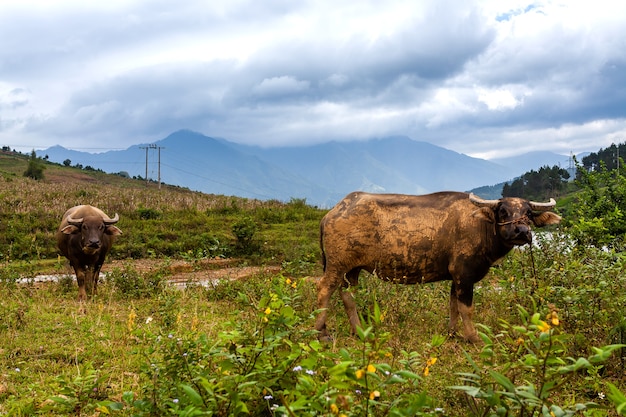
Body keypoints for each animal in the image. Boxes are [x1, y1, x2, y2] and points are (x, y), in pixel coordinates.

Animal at [314, 191, 560, 342]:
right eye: (503, 211)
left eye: (528, 213)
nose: (522, 231)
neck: (480, 227)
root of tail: (330, 214)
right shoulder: (464, 275)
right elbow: (467, 309)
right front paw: (473, 337)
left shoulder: (455, 277)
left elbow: (453, 306)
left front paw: (452, 333)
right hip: (336, 265)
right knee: (324, 290)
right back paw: (322, 332)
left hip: (351, 270)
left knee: (348, 296)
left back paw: (358, 331)